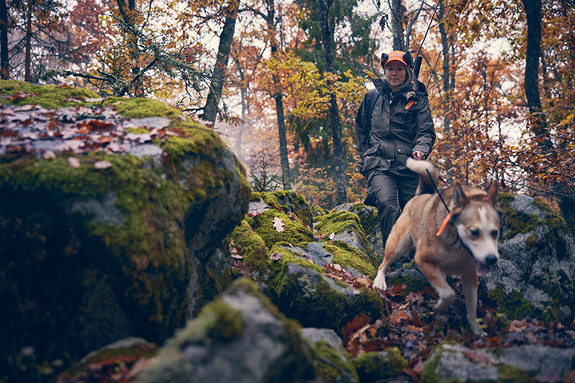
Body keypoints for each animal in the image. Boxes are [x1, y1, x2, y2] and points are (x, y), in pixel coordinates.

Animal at [372, 158, 502, 334]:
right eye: (474, 232)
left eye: (495, 232)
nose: (491, 259)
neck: (458, 244)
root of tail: (419, 197)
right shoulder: (423, 259)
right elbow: (448, 294)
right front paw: (439, 307)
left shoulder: (470, 274)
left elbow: (472, 307)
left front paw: (476, 330)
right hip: (399, 245)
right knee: (384, 263)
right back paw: (380, 280)